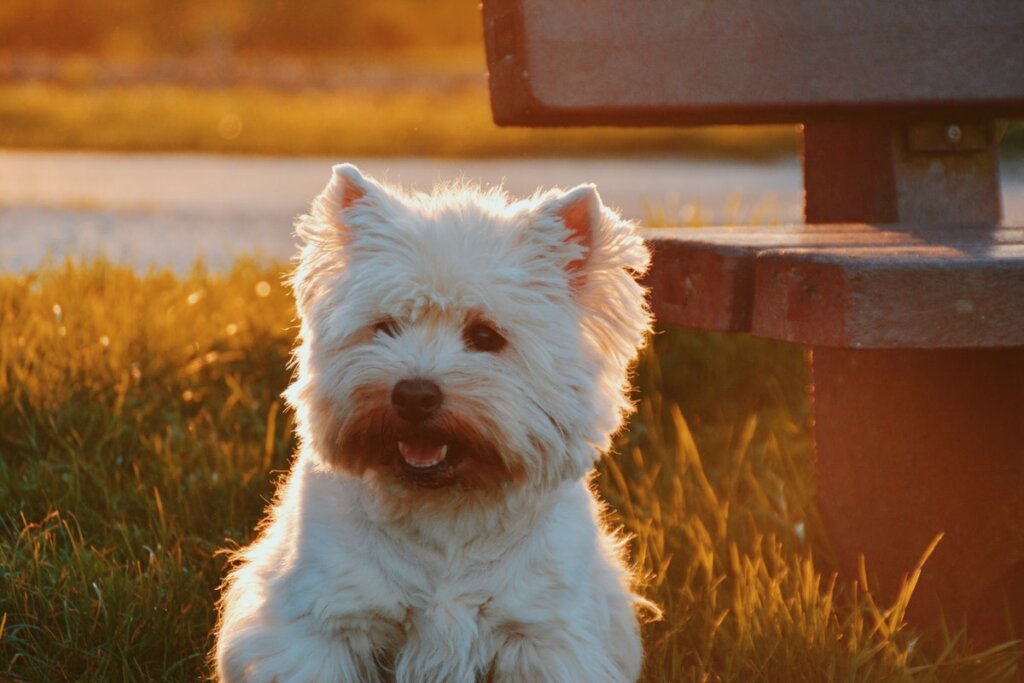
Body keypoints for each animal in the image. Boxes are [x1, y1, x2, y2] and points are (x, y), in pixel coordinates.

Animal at [216, 165, 655, 683]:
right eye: (385, 326)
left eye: (486, 335)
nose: (413, 395)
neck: (445, 513)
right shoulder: (323, 624)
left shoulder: (544, 634)